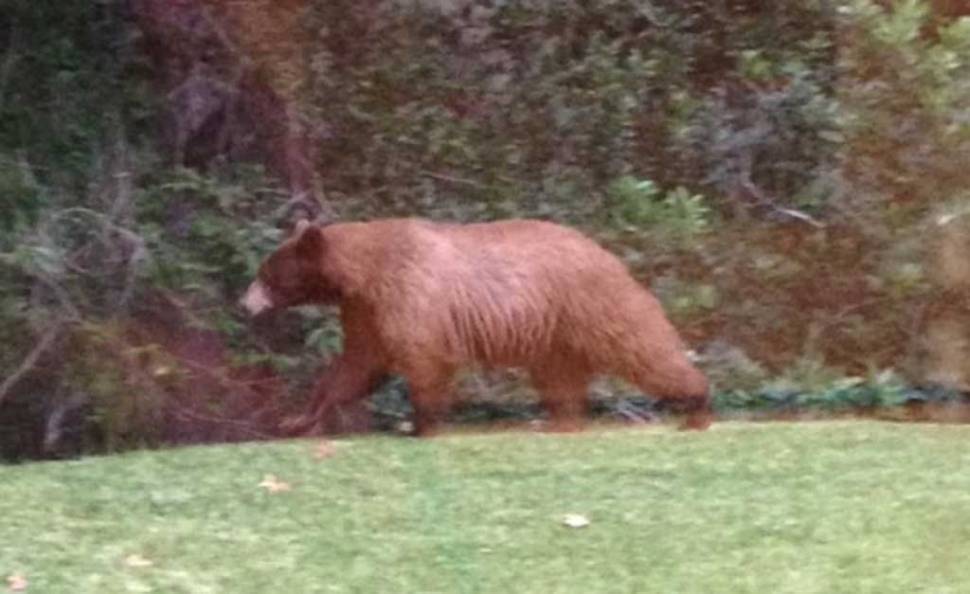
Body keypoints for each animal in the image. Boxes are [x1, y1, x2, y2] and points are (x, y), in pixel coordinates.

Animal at [240, 217, 712, 434]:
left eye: (266, 273)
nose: (244, 303)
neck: (362, 274)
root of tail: (605, 251)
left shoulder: (409, 297)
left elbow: (423, 359)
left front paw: (423, 425)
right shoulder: (366, 311)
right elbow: (355, 365)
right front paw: (299, 418)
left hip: (593, 304)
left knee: (642, 348)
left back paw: (696, 404)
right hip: (554, 332)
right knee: (559, 377)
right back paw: (561, 421)